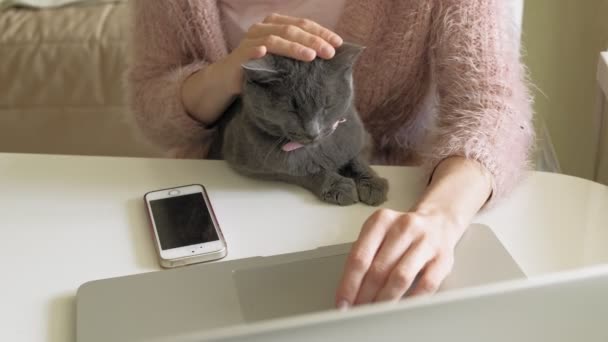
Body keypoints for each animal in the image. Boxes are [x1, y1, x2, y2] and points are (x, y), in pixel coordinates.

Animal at [209, 44, 388, 207]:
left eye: (327, 105)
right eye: (292, 110)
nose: (312, 132)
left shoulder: (360, 138)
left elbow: (357, 159)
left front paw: (374, 184)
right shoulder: (253, 164)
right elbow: (304, 173)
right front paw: (338, 186)